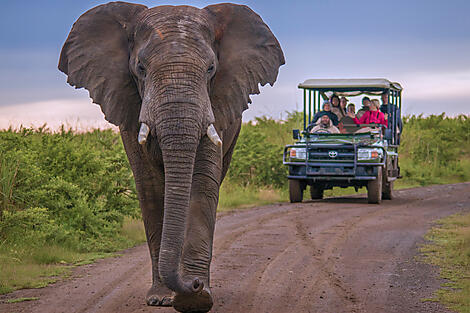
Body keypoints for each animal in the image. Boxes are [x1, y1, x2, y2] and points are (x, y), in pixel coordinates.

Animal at [57, 3, 280, 312]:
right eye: (140, 68)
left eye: (211, 69)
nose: (194, 284)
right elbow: (151, 188)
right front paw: (163, 298)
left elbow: (202, 185)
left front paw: (196, 299)